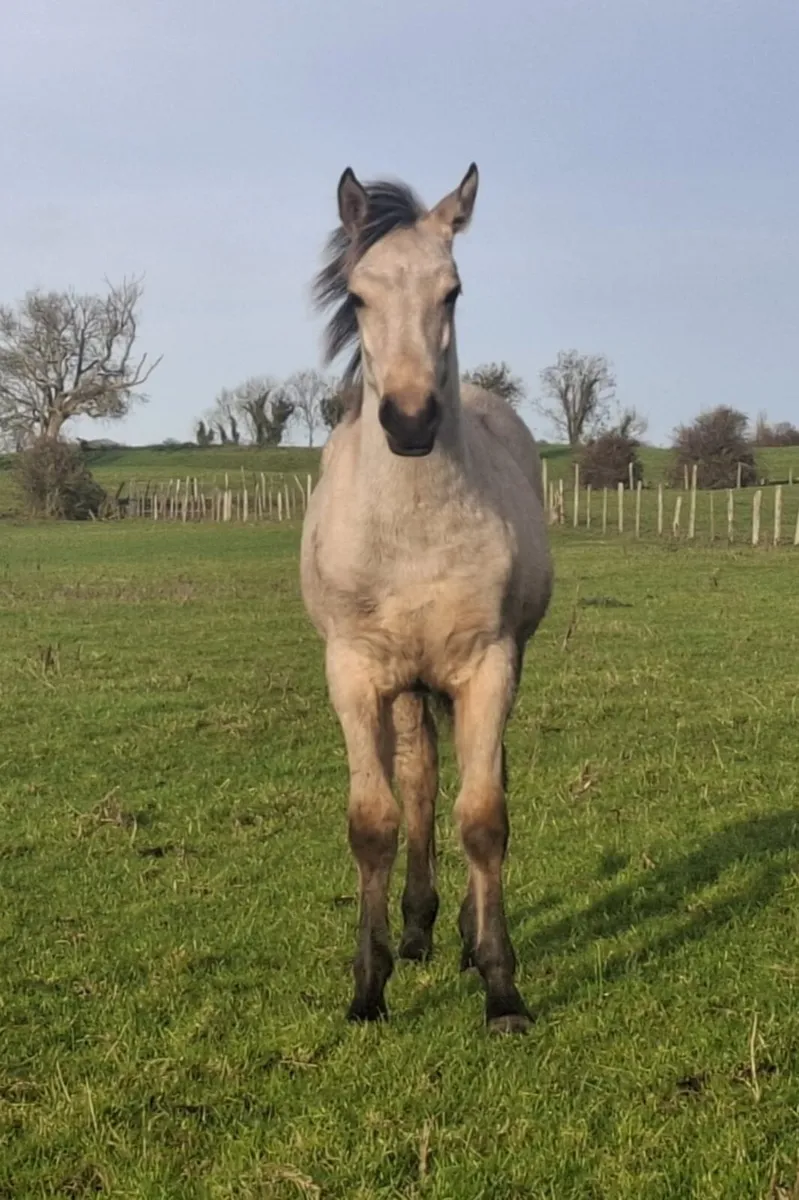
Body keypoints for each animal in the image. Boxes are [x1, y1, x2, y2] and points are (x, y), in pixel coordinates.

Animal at [300, 164, 553, 1033]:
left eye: (452, 290)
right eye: (358, 294)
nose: (409, 422)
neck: (412, 532)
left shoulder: (488, 667)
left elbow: (484, 819)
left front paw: (502, 987)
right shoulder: (351, 674)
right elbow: (373, 823)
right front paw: (366, 989)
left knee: (473, 781)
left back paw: (464, 938)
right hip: (405, 683)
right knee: (416, 781)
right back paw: (414, 930)